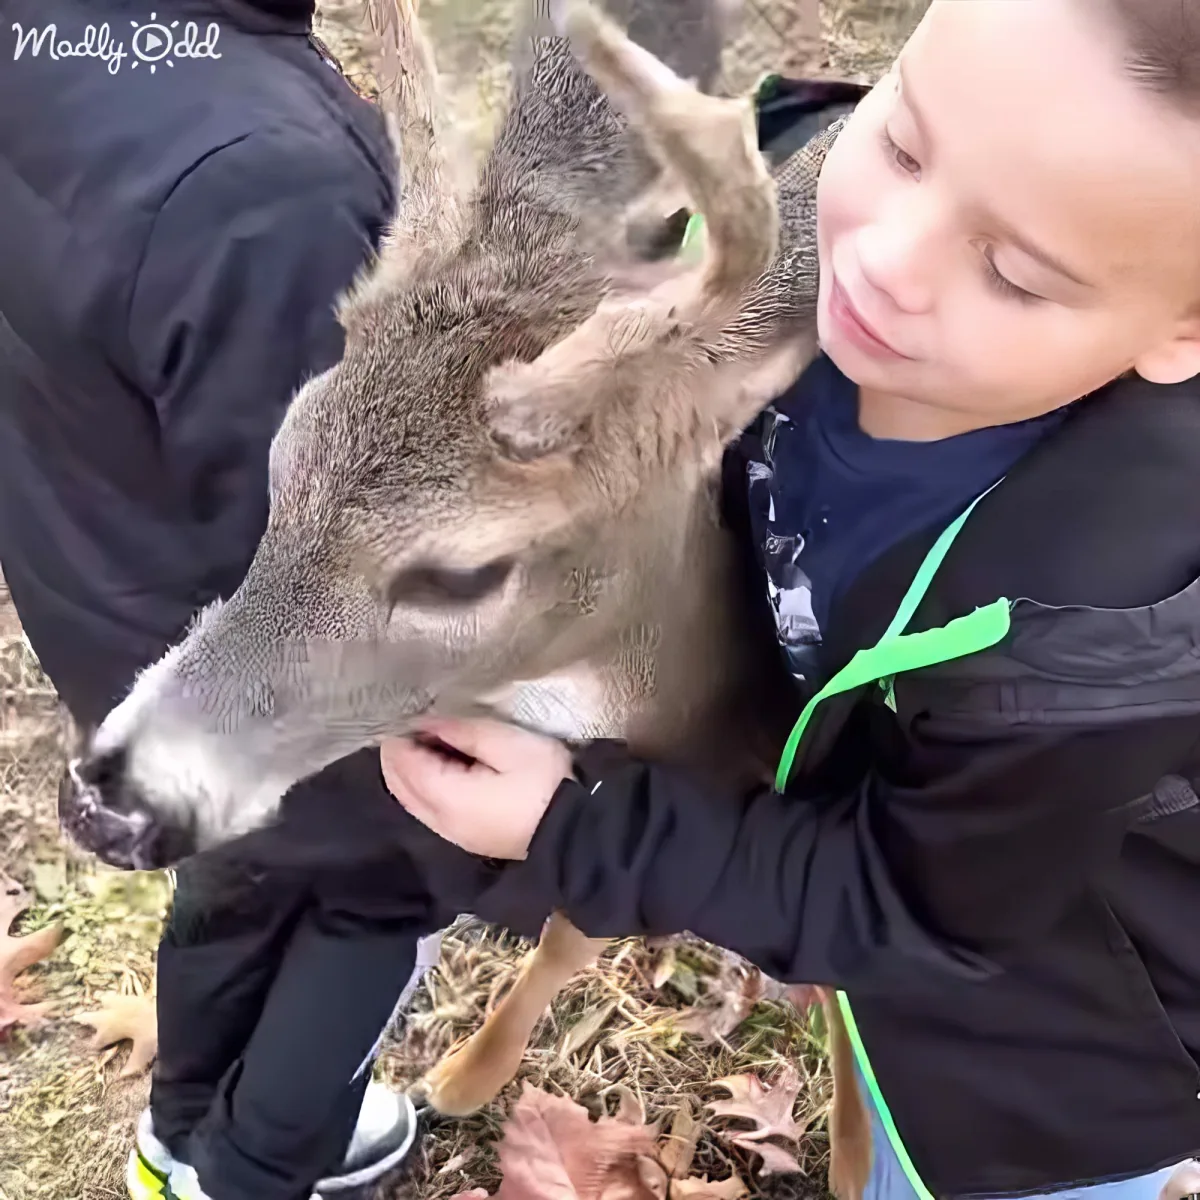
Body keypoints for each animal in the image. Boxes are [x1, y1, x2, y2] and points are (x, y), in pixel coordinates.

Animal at [58, 0, 871, 1193]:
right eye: (283, 454)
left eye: (461, 574)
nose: (110, 797)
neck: (726, 742)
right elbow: (576, 926)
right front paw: (467, 1073)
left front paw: (861, 1154)